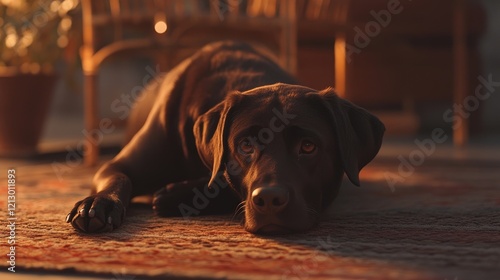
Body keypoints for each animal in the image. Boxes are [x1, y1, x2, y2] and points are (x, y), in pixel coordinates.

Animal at [66, 41, 384, 234]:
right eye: (245, 145)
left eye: (308, 146)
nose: (269, 199)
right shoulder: (119, 166)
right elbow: (118, 178)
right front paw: (97, 203)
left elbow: (219, 184)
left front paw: (176, 195)